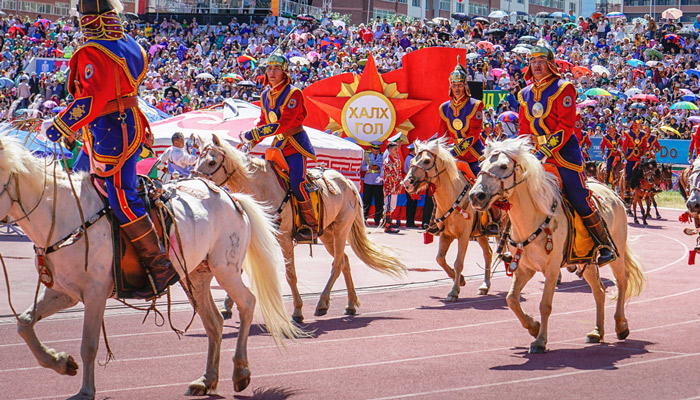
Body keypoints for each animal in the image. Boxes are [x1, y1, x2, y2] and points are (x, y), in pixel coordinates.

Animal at [0, 136, 306, 398]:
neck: (66, 213)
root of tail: (233, 198)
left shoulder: (95, 294)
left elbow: (89, 345)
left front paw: (85, 391)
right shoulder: (64, 292)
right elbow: (24, 323)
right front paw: (61, 362)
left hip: (227, 270)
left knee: (248, 304)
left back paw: (241, 371)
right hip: (196, 277)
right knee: (215, 323)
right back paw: (206, 380)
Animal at [194, 136, 408, 324]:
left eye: (212, 162)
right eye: (196, 159)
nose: (195, 183)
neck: (262, 187)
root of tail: (348, 183)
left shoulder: (285, 239)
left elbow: (291, 275)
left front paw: (297, 311)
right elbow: (238, 271)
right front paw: (228, 305)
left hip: (340, 230)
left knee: (337, 264)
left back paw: (322, 303)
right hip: (328, 234)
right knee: (345, 262)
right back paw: (350, 304)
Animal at [402, 140, 494, 300]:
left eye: (427, 161)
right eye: (412, 161)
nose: (407, 183)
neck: (453, 195)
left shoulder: (463, 236)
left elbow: (458, 263)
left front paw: (454, 291)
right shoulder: (446, 234)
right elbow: (440, 259)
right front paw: (461, 280)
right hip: (480, 233)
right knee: (488, 253)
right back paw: (485, 286)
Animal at [468, 138, 644, 354]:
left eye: (503, 166)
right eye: (481, 166)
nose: (476, 196)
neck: (533, 216)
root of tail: (613, 193)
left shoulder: (551, 269)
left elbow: (545, 305)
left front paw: (540, 340)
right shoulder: (524, 269)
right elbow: (511, 300)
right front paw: (533, 327)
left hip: (616, 254)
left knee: (622, 280)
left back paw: (621, 325)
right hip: (586, 262)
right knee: (599, 291)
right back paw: (597, 332)